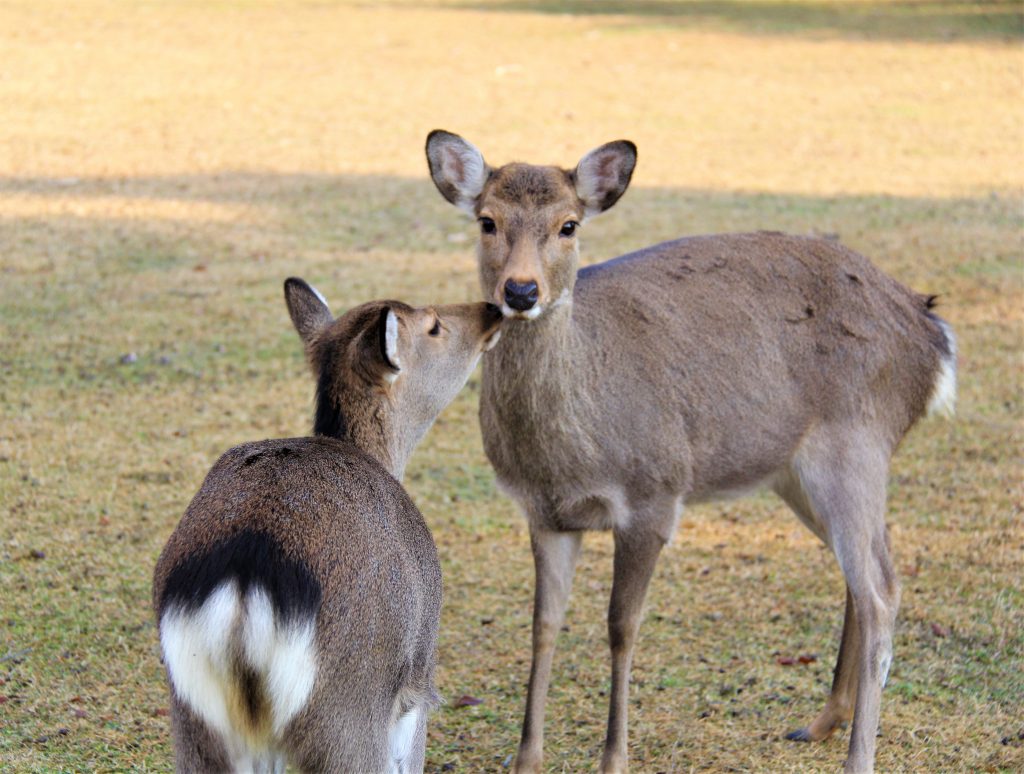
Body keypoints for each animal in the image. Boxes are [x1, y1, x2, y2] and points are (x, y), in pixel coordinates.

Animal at [152, 278, 503, 774]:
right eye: (433, 326)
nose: (493, 308)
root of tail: (244, 580)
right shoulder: (418, 679)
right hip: (348, 721)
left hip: (195, 729)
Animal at [425, 130, 958, 769]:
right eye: (487, 220)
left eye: (568, 225)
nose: (522, 290)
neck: (570, 452)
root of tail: (932, 336)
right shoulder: (545, 513)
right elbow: (544, 623)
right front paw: (526, 757)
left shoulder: (654, 495)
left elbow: (621, 627)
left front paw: (614, 758)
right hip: (799, 473)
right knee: (869, 574)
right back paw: (820, 723)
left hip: (857, 444)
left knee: (881, 592)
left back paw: (858, 755)